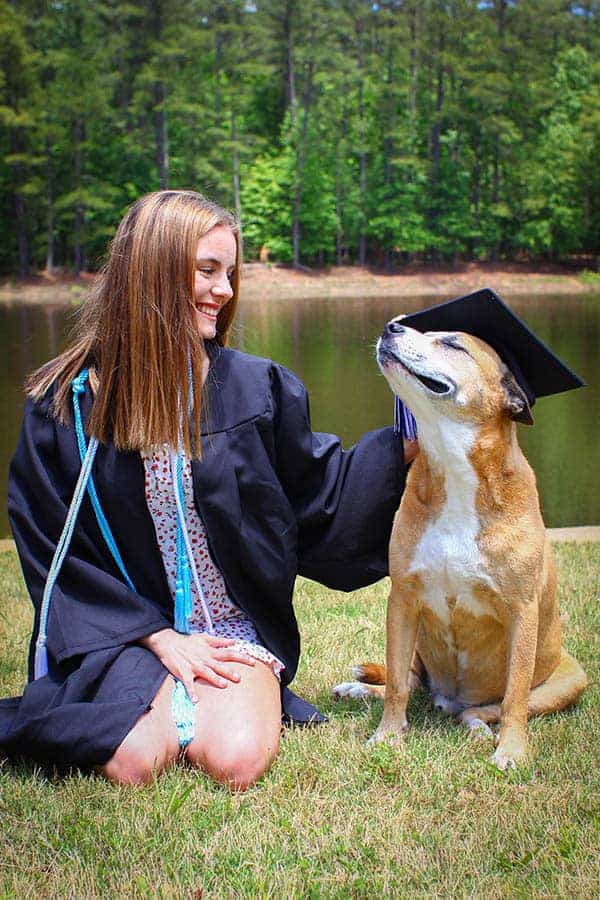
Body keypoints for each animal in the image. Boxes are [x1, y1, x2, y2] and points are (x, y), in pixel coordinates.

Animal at [336, 316, 588, 768]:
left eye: (453, 344)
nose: (392, 326)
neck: (453, 465)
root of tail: (449, 700)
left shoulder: (521, 611)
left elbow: (514, 697)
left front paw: (512, 750)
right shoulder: (403, 600)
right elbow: (397, 683)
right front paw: (387, 736)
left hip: (569, 679)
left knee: (486, 708)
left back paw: (477, 726)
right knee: (411, 680)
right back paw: (362, 688)